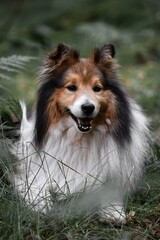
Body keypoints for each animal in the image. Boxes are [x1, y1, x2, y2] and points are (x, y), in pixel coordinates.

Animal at [12, 43, 150, 223]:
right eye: (71, 87)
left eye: (97, 88)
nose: (88, 107)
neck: (79, 139)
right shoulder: (41, 171)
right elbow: (39, 188)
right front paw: (40, 206)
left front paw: (112, 211)